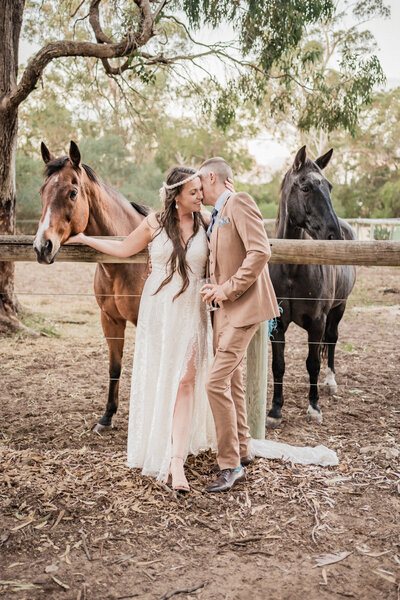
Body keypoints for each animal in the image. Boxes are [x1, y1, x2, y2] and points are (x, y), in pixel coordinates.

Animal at [33, 141, 149, 432]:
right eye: (42, 191)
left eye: (73, 192)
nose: (42, 247)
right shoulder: (110, 320)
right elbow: (114, 367)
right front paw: (107, 417)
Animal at [268, 145, 356, 426]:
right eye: (305, 187)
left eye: (329, 186)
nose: (335, 236)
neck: (292, 271)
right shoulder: (278, 324)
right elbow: (278, 365)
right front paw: (275, 410)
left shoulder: (318, 322)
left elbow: (312, 364)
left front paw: (314, 408)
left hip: (339, 309)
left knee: (332, 341)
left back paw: (330, 383)